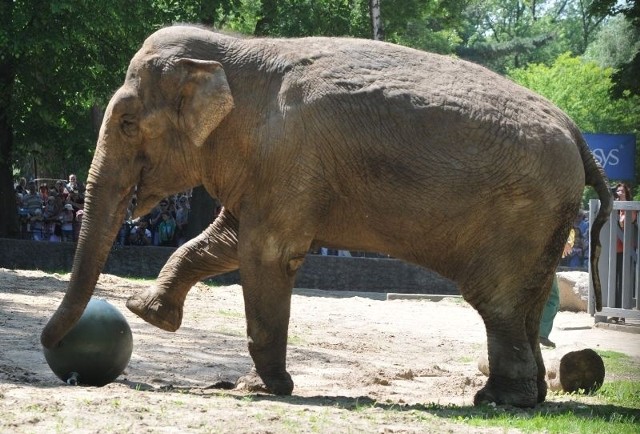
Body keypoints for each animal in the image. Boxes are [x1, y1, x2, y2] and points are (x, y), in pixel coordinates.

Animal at [42, 25, 612, 408]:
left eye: (127, 123)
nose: (61, 354)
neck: (234, 50)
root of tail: (579, 135)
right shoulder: (268, 169)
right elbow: (226, 241)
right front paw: (150, 313)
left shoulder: (289, 156)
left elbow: (265, 254)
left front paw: (262, 389)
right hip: (547, 221)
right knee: (526, 302)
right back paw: (527, 397)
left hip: (523, 214)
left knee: (497, 302)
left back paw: (498, 401)